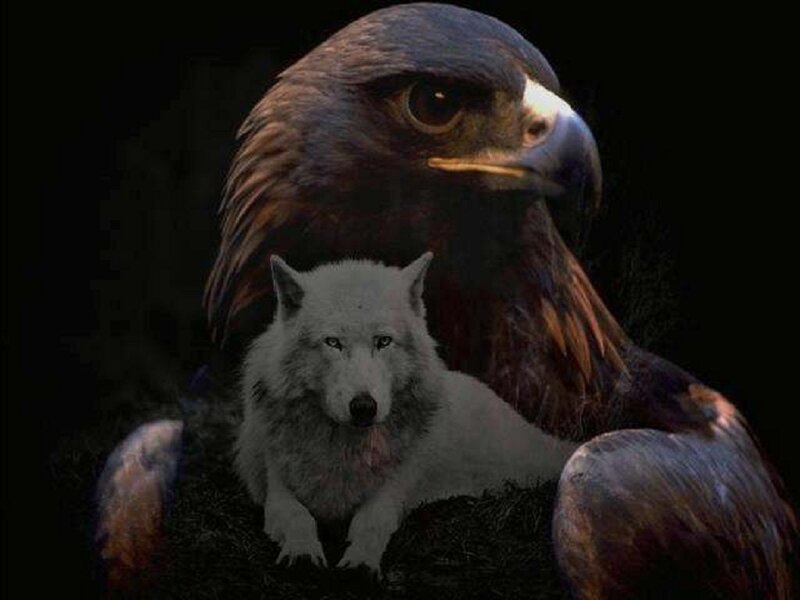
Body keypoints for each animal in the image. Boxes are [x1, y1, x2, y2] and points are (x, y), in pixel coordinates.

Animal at [234, 252, 578, 574]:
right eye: (333, 342)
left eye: (383, 341)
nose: (364, 407)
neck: (346, 450)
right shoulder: (277, 489)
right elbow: (298, 517)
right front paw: (302, 553)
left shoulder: (393, 489)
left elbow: (370, 522)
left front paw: (360, 563)